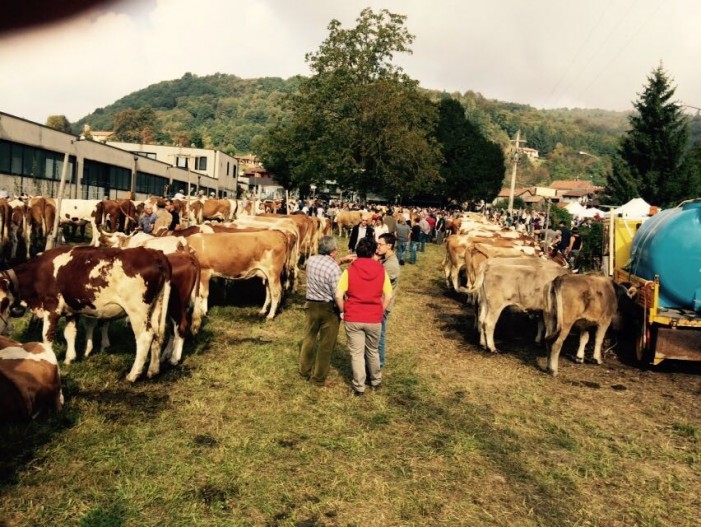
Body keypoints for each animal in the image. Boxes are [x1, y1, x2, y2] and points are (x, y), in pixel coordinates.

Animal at [0, 245, 171, 382]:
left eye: (3, 301)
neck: (38, 272)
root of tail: (154, 253)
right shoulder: (72, 310)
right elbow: (70, 334)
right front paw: (69, 359)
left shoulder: (51, 307)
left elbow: (47, 337)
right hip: (156, 307)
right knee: (158, 335)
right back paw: (153, 371)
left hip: (137, 311)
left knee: (145, 337)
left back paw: (133, 375)